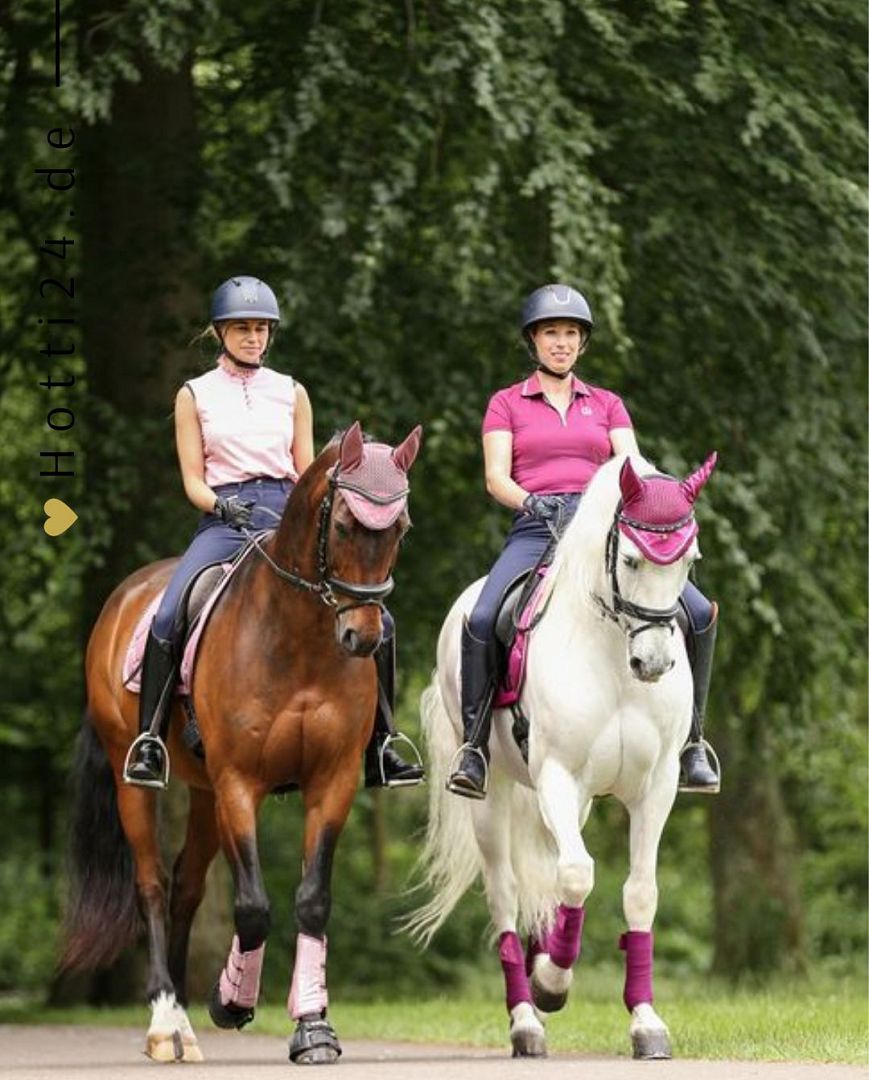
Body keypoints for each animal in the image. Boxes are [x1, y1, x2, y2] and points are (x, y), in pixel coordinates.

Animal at [60, 421, 421, 1062]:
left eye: (400, 527)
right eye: (344, 525)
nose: (362, 636)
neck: (300, 639)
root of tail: (125, 596)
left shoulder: (332, 781)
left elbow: (312, 900)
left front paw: (313, 1027)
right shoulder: (239, 784)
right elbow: (252, 906)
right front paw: (230, 1003)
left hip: (204, 795)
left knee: (185, 888)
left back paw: (182, 1023)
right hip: (140, 781)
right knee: (152, 884)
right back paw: (164, 1024)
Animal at [410, 451, 716, 1058]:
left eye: (689, 559)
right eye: (631, 559)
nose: (652, 663)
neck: (613, 655)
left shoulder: (655, 789)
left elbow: (638, 892)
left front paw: (646, 1023)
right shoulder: (556, 776)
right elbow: (576, 876)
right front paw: (553, 984)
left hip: (574, 804)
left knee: (544, 885)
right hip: (495, 799)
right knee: (506, 895)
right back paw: (527, 1018)